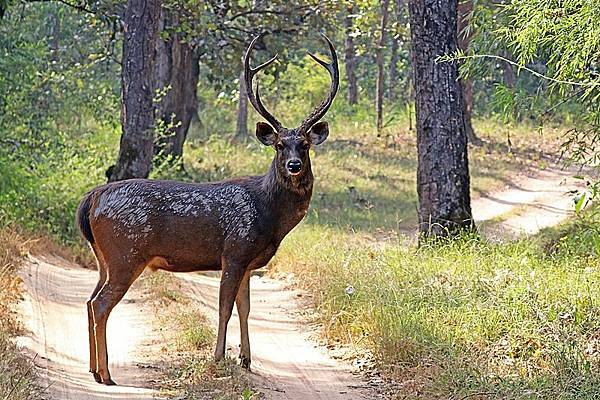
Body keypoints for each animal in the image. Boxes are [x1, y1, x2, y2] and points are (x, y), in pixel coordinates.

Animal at [76, 33, 338, 384]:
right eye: (280, 145)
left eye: (305, 145)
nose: (294, 165)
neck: (269, 217)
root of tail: (91, 198)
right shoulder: (235, 251)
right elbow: (225, 307)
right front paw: (218, 358)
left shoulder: (249, 263)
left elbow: (245, 308)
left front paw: (246, 360)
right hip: (125, 253)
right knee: (102, 304)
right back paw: (105, 373)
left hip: (103, 257)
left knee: (90, 300)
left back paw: (92, 368)